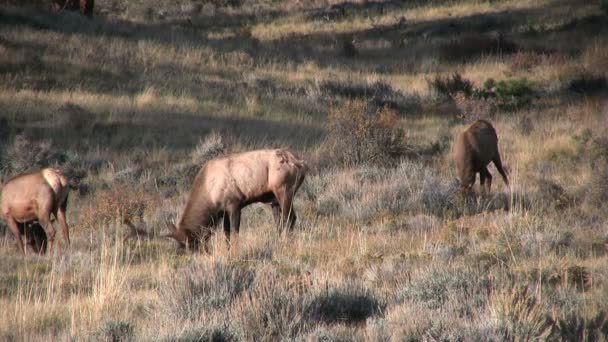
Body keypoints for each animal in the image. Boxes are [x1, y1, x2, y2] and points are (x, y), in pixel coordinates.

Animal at [164, 148, 306, 252]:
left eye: (190, 244)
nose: (196, 254)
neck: (211, 197)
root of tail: (302, 164)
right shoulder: (224, 211)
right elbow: (226, 233)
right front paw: (228, 250)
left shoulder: (235, 204)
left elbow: (234, 231)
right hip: (274, 200)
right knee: (280, 222)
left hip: (284, 191)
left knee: (290, 218)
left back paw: (288, 243)